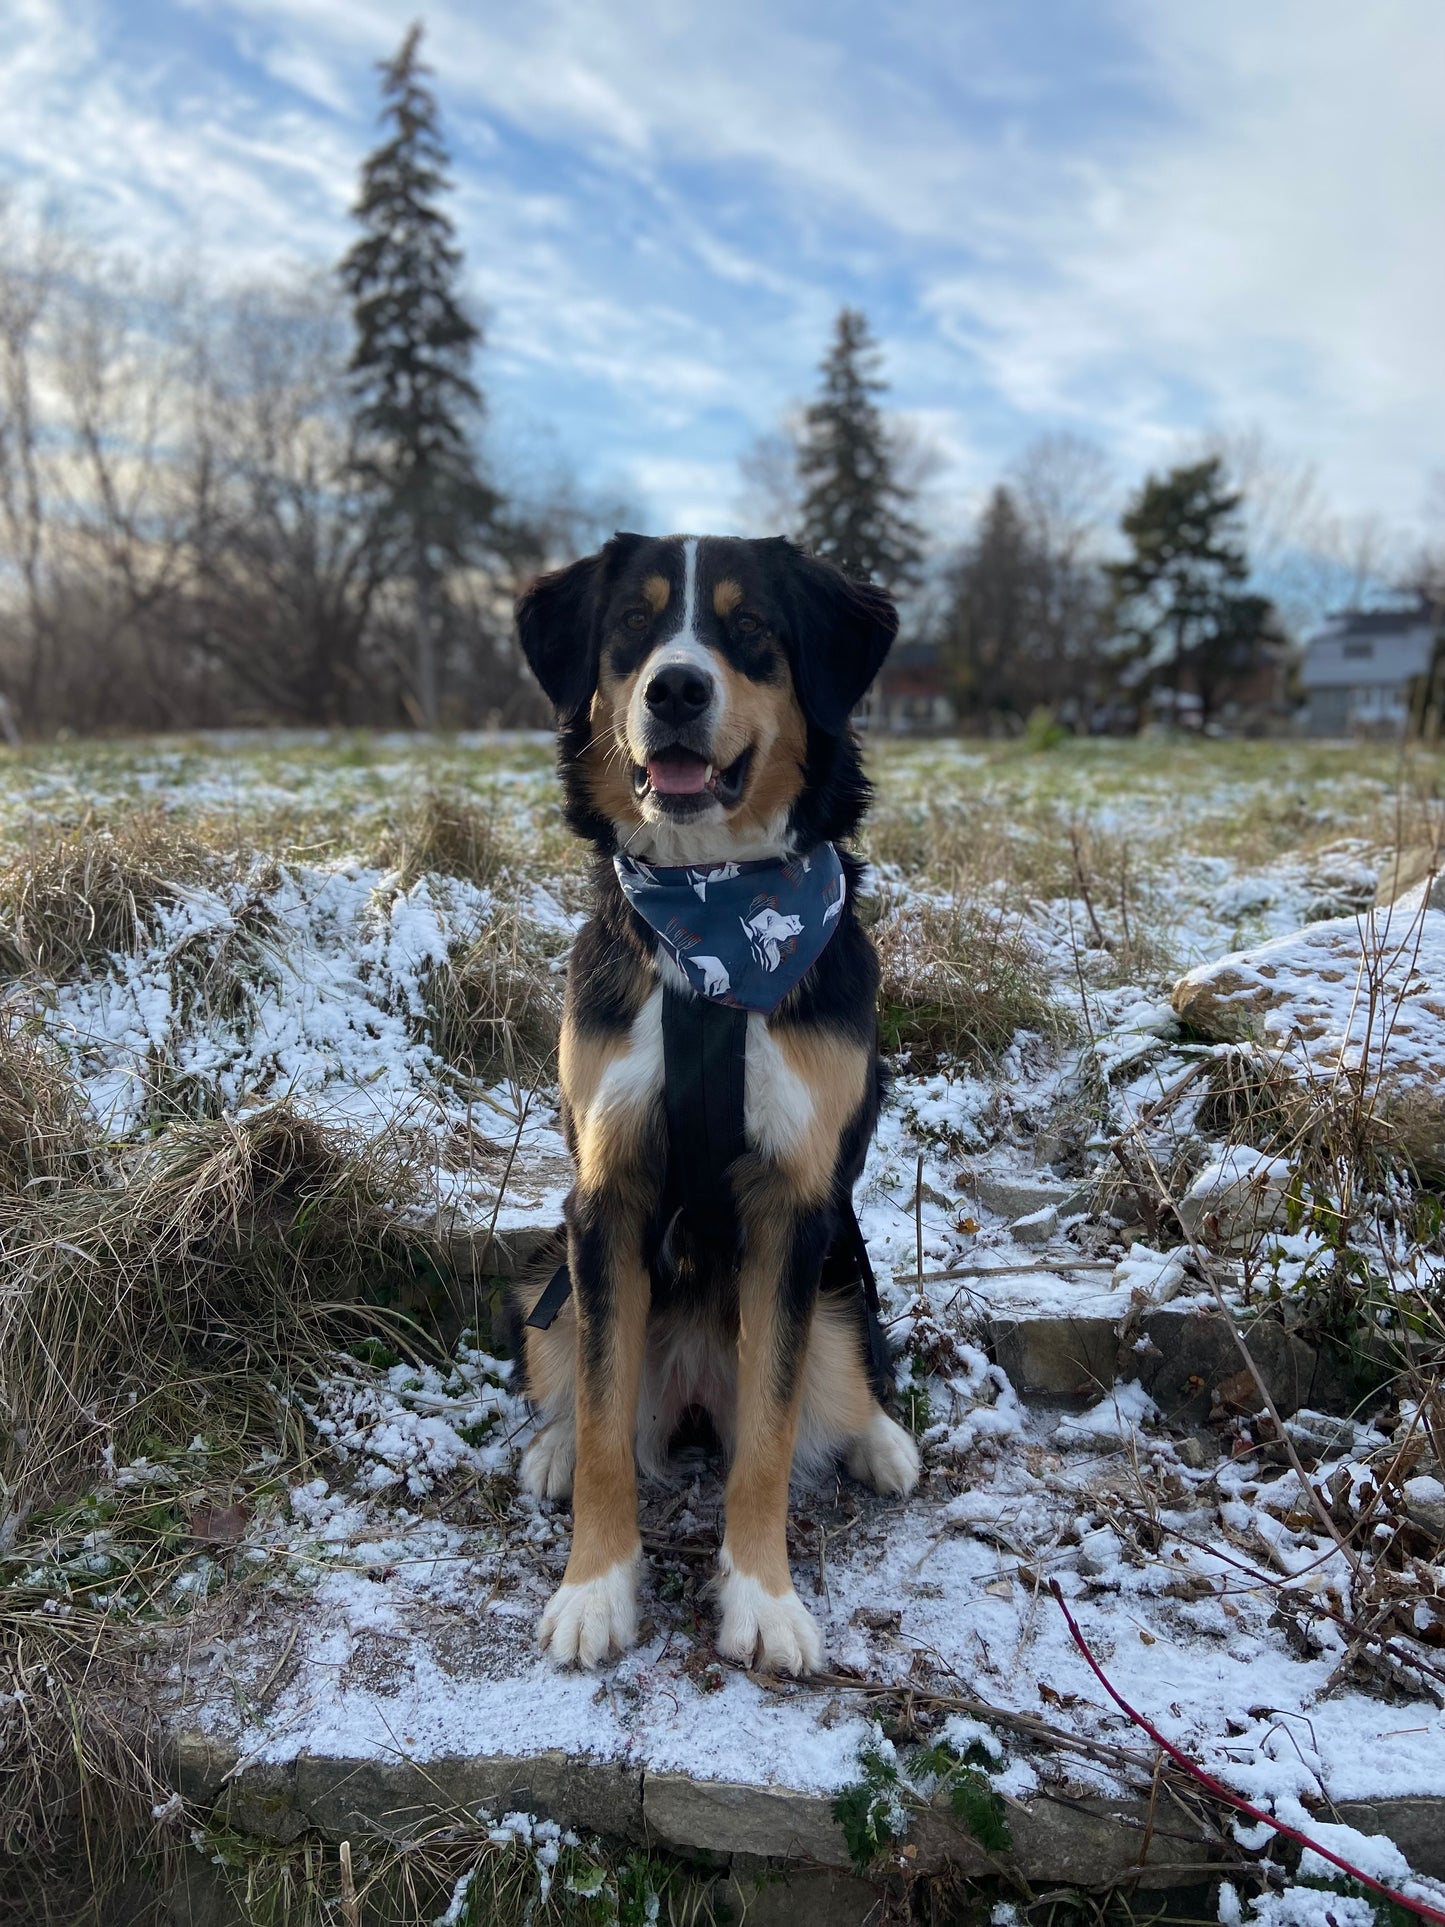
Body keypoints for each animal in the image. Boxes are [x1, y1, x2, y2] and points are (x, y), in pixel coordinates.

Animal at [512, 535, 917, 1680]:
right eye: (631, 629)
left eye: (748, 631)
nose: (676, 689)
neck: (710, 937)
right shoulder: (604, 1195)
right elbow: (605, 1425)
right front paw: (595, 1589)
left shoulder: (792, 1208)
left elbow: (771, 1437)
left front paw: (762, 1599)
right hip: (548, 1274)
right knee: (571, 1371)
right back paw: (548, 1447)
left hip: (839, 1279)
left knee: (840, 1374)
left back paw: (881, 1438)